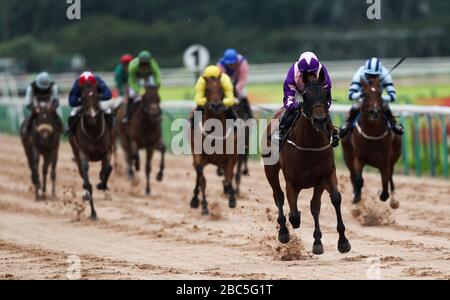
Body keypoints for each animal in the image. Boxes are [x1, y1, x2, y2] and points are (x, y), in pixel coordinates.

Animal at [69, 85, 114, 219]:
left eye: (97, 96)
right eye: (82, 98)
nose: (92, 115)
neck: (94, 133)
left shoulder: (107, 151)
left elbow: (108, 168)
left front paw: (102, 184)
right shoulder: (83, 154)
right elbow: (87, 179)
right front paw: (93, 213)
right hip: (75, 151)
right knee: (82, 174)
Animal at [189, 76, 239, 214]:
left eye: (222, 89)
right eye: (207, 89)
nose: (216, 105)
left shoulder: (231, 157)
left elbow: (229, 175)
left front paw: (232, 199)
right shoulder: (199, 155)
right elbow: (202, 179)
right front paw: (204, 205)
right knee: (198, 174)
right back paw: (195, 200)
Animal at [264, 73, 352, 255]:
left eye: (326, 94)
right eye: (305, 95)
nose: (320, 120)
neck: (310, 146)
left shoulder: (325, 175)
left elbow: (327, 201)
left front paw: (338, 241)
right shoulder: (291, 181)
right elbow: (294, 213)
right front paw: (292, 225)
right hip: (270, 169)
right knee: (279, 196)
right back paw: (284, 231)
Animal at [342, 77, 402, 209]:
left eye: (380, 93)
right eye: (364, 94)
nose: (374, 112)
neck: (372, 134)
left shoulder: (385, 161)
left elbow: (385, 184)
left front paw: (386, 196)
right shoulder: (359, 158)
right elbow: (358, 180)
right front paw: (356, 199)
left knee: (390, 176)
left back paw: (394, 200)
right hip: (347, 154)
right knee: (352, 175)